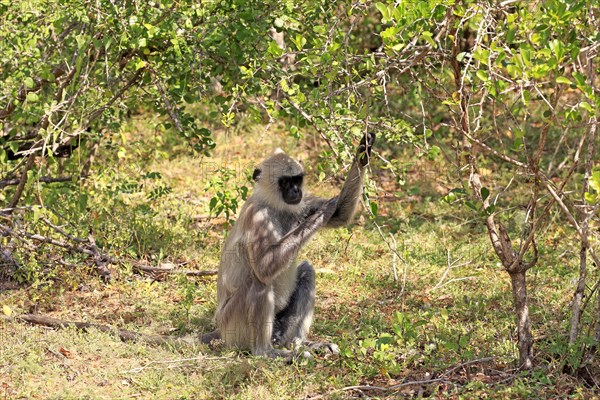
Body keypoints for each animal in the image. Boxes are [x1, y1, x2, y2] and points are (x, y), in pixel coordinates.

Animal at [209, 132, 372, 356]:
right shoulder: (258, 216)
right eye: (285, 182)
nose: (295, 190)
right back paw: (266, 353)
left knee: (307, 271)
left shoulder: (303, 202)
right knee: (259, 282)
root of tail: (221, 331)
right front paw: (321, 213)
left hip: (279, 326)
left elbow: (341, 214)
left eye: (297, 180)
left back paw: (301, 342)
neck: (275, 206)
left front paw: (364, 150)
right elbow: (263, 267)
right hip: (233, 327)